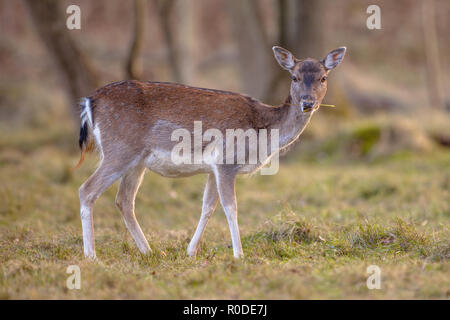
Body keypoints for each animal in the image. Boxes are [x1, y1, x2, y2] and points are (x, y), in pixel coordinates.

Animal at [75, 46, 346, 258]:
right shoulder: (226, 161)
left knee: (124, 200)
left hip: (136, 161)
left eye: (323, 78)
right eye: (294, 77)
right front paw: (238, 254)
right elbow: (230, 206)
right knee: (87, 190)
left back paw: (150, 250)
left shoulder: (212, 167)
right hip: (119, 149)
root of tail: (90, 101)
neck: (263, 132)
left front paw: (190, 251)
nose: (308, 102)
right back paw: (91, 255)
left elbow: (208, 206)